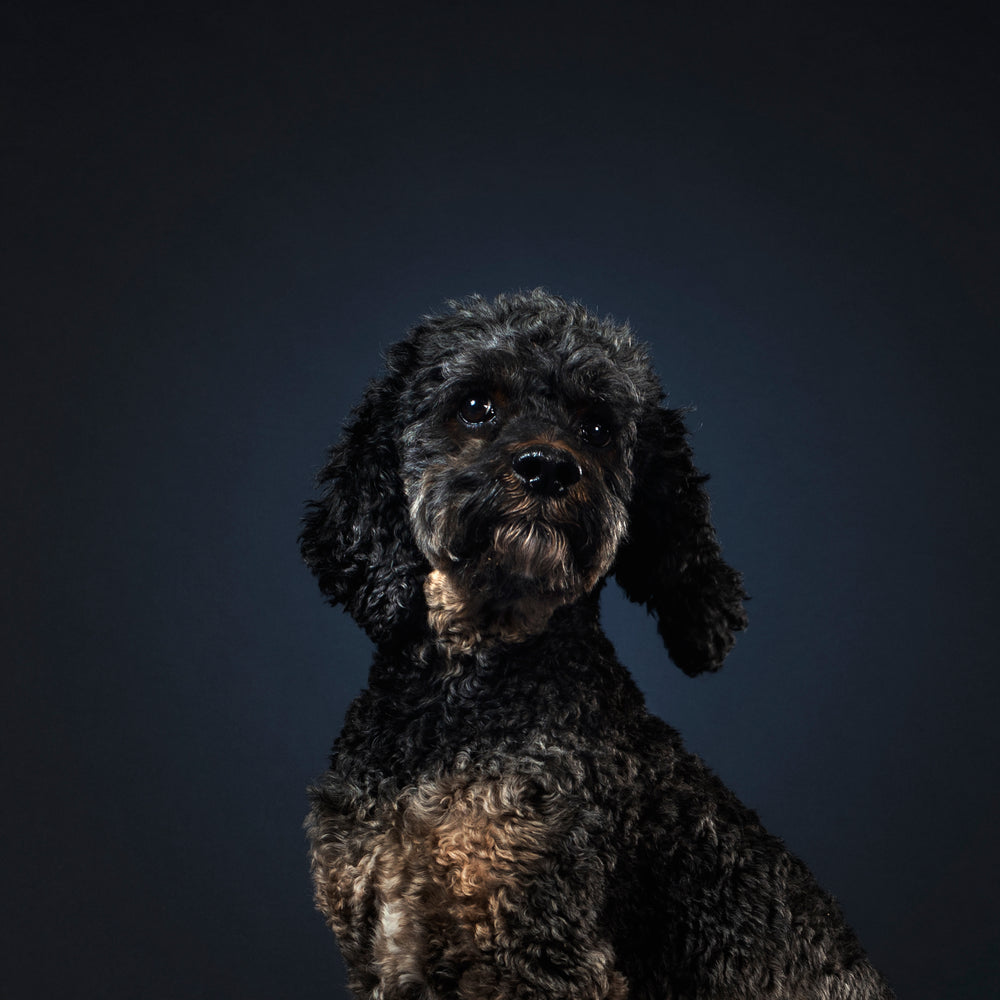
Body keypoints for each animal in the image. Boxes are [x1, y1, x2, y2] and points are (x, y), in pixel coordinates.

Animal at [300, 290, 896, 1000]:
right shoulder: (381, 946)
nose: (548, 469)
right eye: (476, 405)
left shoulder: (543, 950)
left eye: (597, 428)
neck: (458, 698)